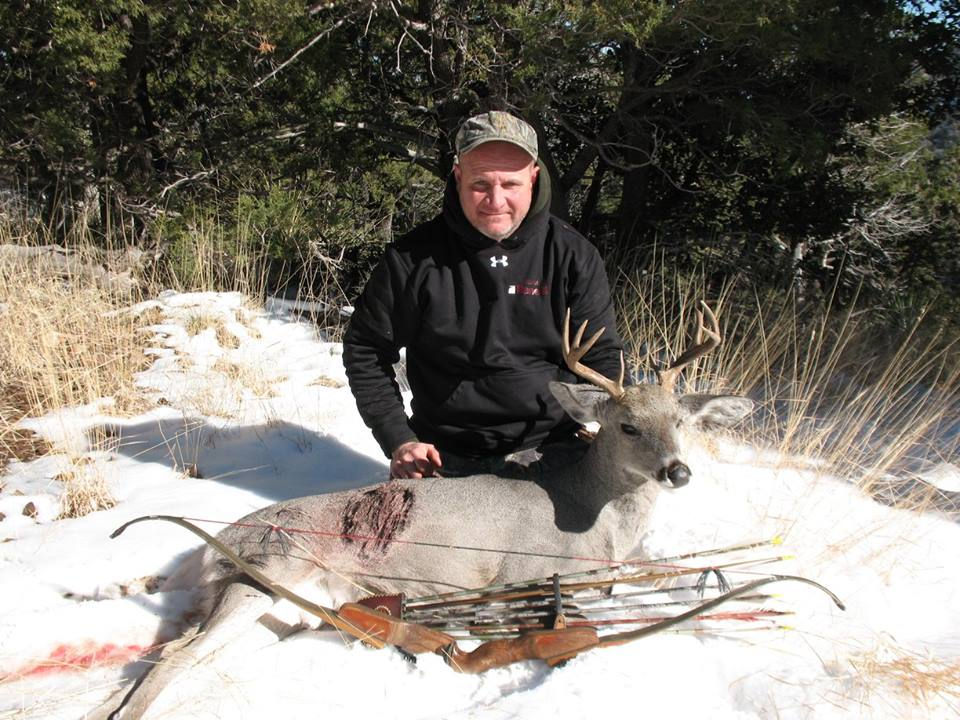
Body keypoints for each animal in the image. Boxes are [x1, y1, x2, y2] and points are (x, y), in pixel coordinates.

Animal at [96, 302, 753, 719]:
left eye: (682, 422)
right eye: (626, 425)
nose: (678, 472)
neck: (591, 514)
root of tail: (218, 542)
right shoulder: (522, 576)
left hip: (283, 612)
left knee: (171, 653)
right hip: (266, 575)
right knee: (174, 658)